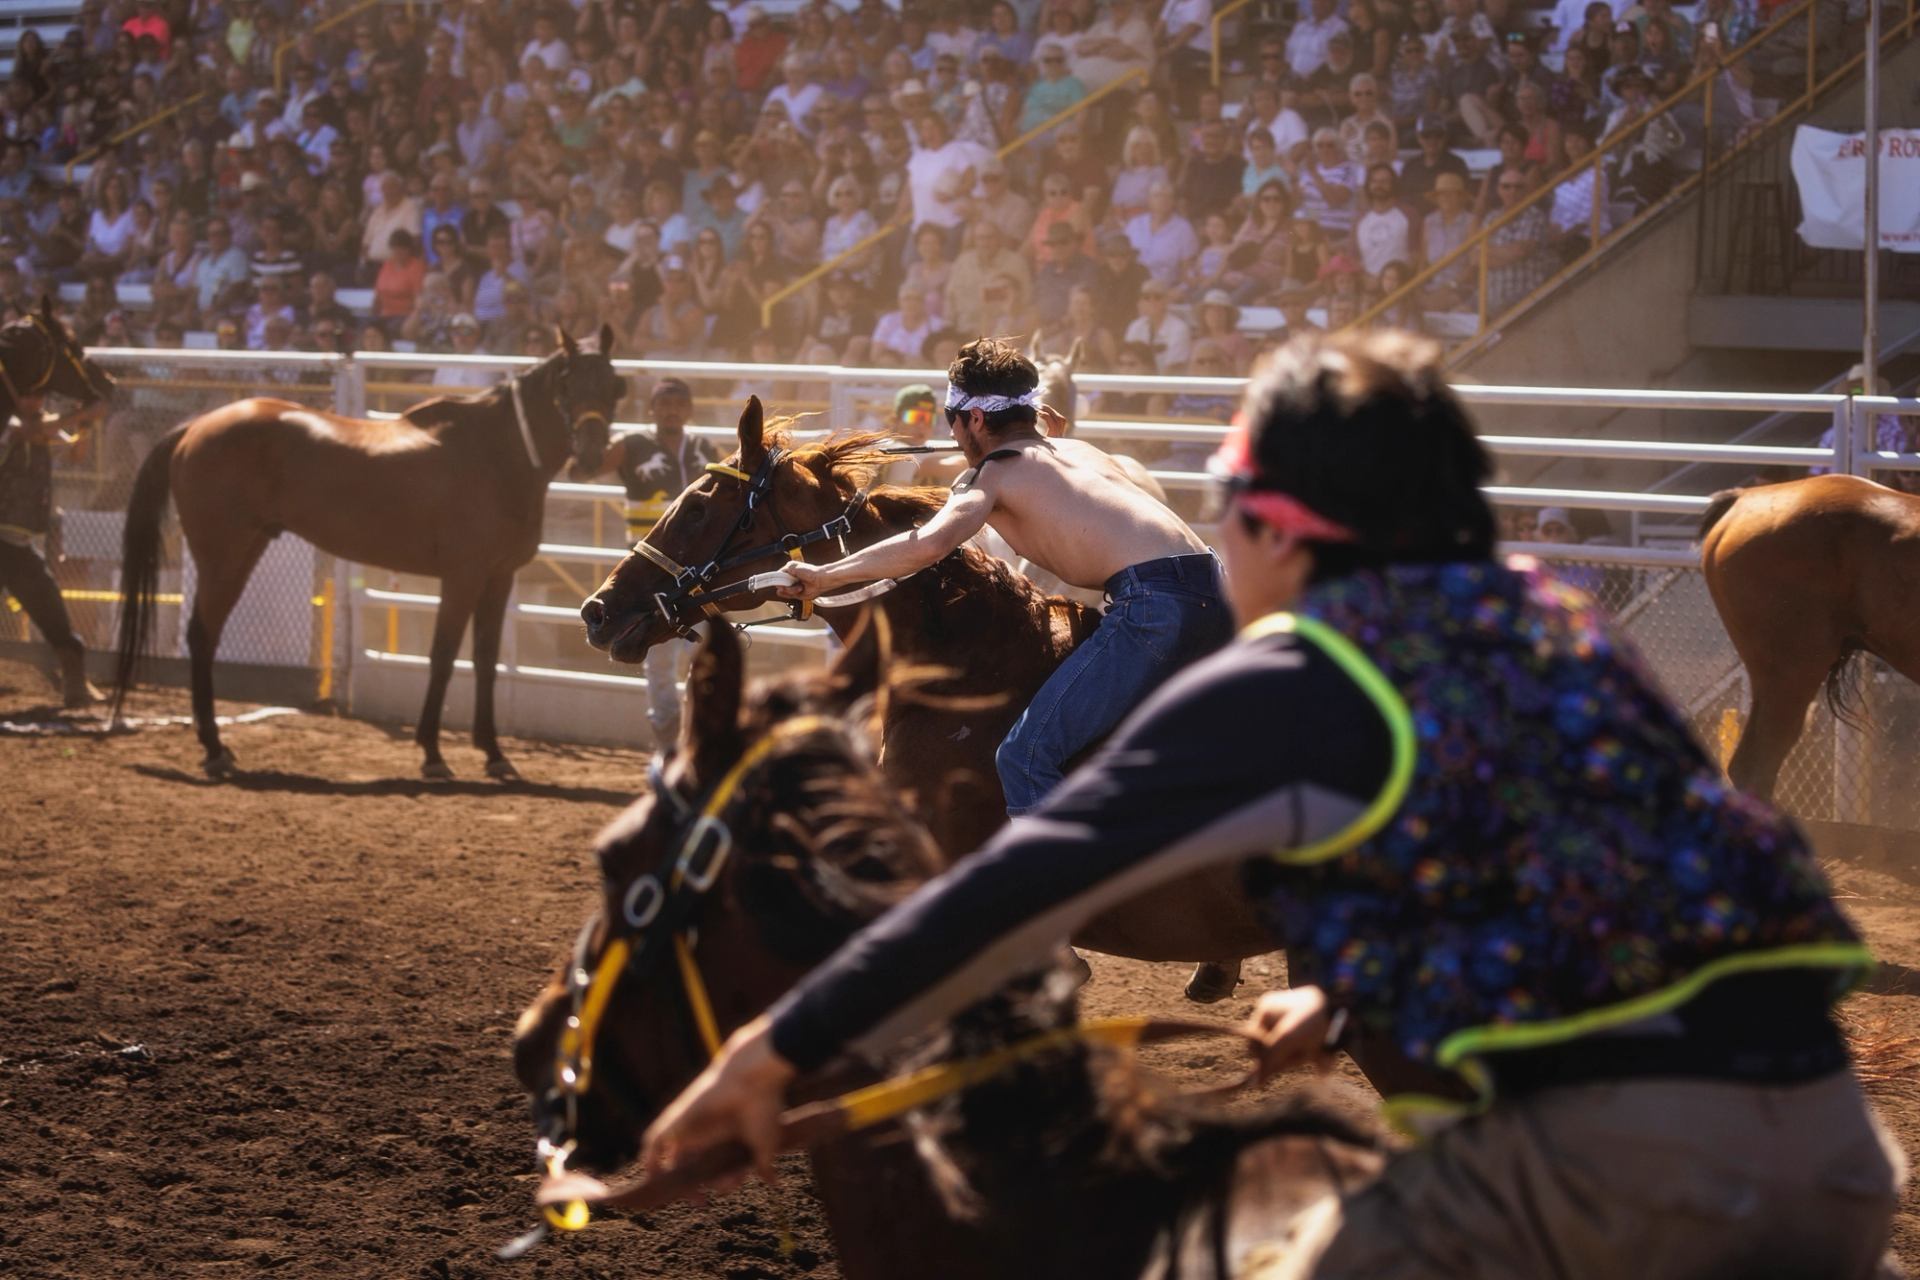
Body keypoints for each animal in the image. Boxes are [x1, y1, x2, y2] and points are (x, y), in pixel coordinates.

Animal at [112, 327, 627, 780]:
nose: (590, 455)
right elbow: (443, 656)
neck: (497, 453)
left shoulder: (498, 578)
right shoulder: (462, 576)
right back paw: (215, 749)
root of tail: (195, 426)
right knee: (201, 636)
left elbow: (485, 660)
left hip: (244, 551)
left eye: (614, 384)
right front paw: (433, 754)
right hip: (222, 557)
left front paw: (495, 754)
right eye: (566, 382)